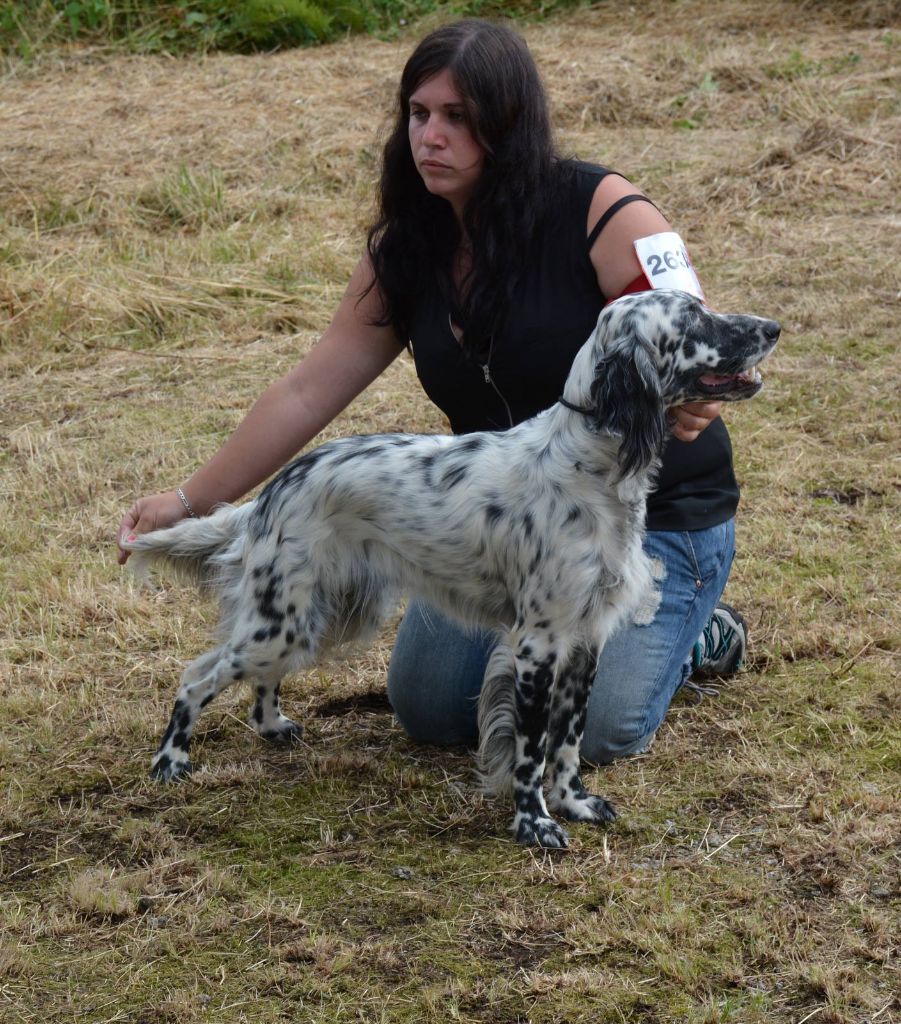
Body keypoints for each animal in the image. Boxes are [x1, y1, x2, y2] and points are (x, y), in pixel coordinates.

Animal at [123, 288, 778, 847]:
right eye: (692, 319)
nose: (772, 327)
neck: (589, 465)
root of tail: (273, 488)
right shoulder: (538, 644)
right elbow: (532, 748)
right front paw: (534, 823)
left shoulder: (587, 638)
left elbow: (568, 740)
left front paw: (575, 803)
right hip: (284, 619)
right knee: (196, 677)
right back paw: (171, 760)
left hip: (315, 616)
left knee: (256, 676)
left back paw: (272, 724)